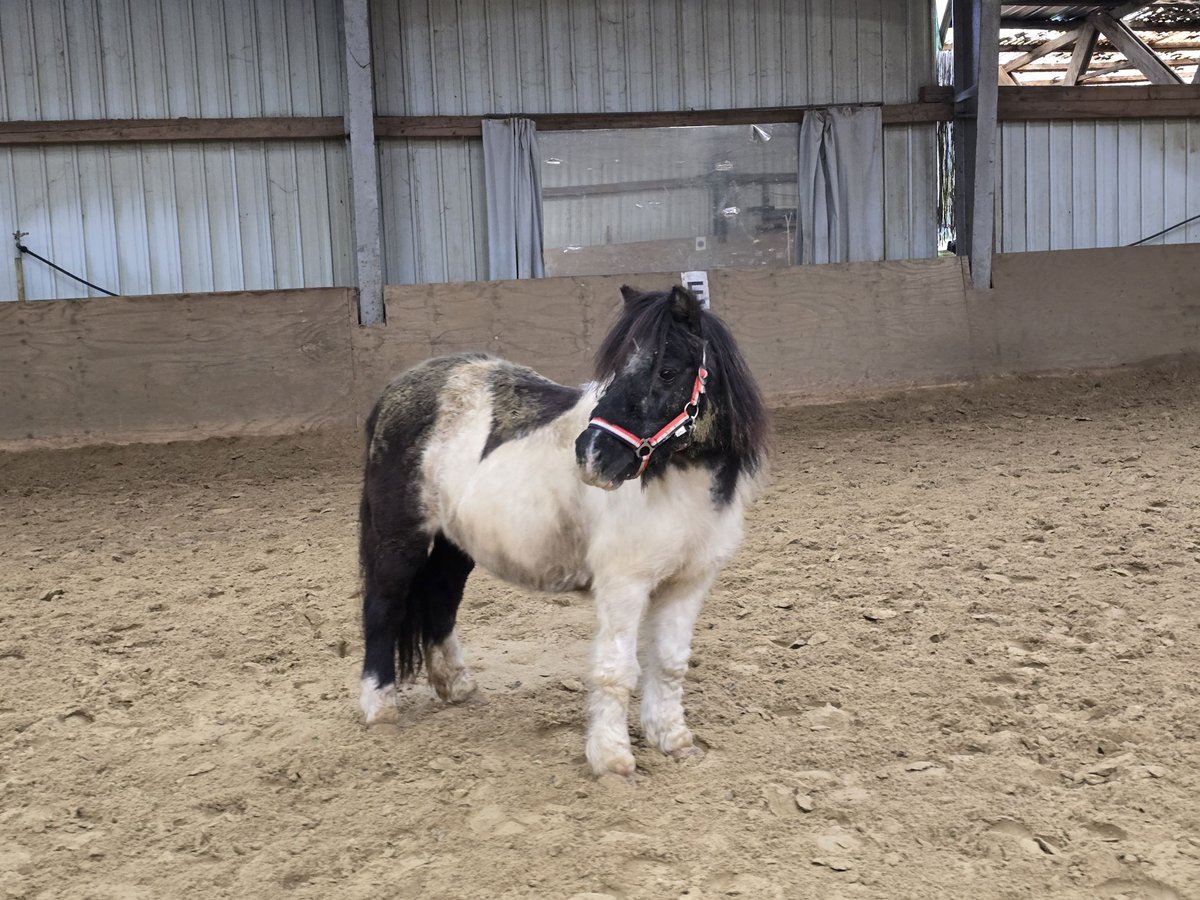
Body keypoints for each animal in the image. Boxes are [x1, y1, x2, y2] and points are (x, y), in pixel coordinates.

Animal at [357, 285, 768, 777]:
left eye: (667, 371)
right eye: (613, 372)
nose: (591, 456)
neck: (677, 482)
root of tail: (398, 389)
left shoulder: (688, 583)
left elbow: (669, 664)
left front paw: (674, 741)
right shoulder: (624, 585)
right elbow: (616, 669)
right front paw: (612, 760)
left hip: (456, 546)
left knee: (440, 597)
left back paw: (457, 686)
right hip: (400, 538)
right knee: (383, 607)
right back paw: (379, 708)